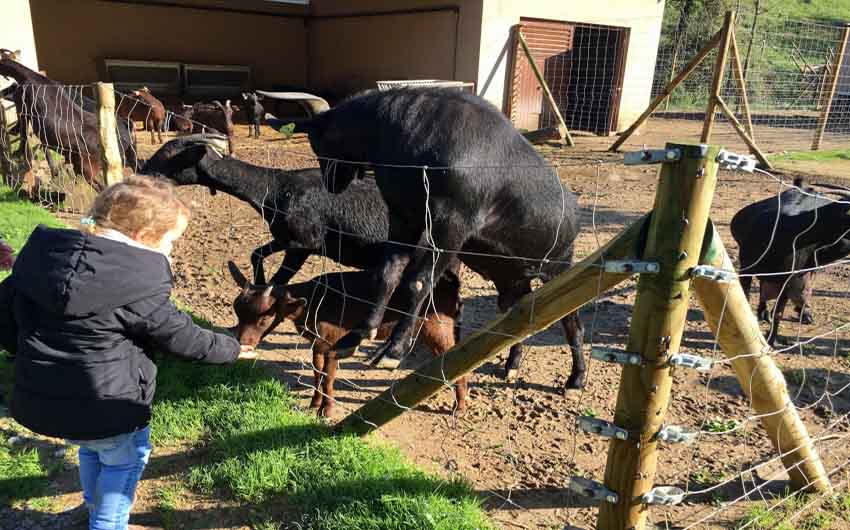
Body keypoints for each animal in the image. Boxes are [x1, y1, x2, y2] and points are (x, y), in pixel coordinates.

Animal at [227, 260, 464, 416]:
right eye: (238, 312)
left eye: (264, 319)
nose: (243, 343)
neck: (315, 301)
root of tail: (452, 287)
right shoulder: (318, 344)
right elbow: (317, 374)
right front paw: (315, 404)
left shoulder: (334, 343)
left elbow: (328, 378)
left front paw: (327, 411)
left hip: (437, 328)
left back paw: (459, 407)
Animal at [298, 86, 584, 388]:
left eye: (318, 143)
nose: (331, 184)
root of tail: (574, 214)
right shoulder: (404, 218)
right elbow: (388, 275)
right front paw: (359, 334)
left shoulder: (451, 225)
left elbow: (419, 283)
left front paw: (393, 350)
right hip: (511, 281)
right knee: (516, 318)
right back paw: (512, 365)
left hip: (558, 267)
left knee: (572, 323)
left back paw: (576, 378)